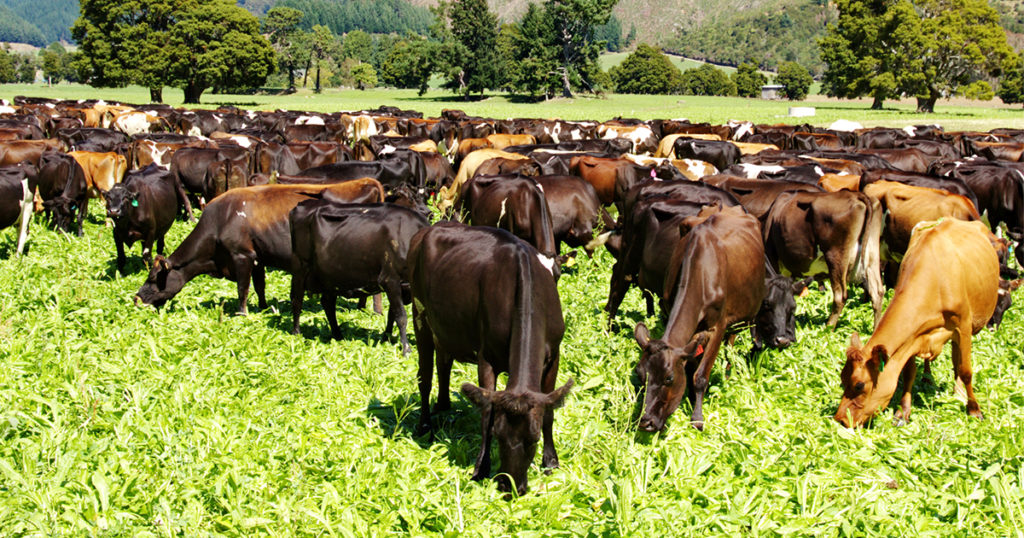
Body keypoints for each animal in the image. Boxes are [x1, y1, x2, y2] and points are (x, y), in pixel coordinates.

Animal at [136, 180, 387, 315]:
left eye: (153, 277)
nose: (136, 298)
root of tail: (367, 182)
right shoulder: (258, 257)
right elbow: (259, 287)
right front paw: (264, 307)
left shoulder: (242, 255)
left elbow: (243, 288)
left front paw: (242, 313)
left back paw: (375, 310)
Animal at [288, 200, 428, 352]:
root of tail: (303, 204)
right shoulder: (390, 279)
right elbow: (401, 316)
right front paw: (406, 349)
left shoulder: (403, 286)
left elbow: (392, 314)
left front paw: (386, 338)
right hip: (300, 268)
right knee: (297, 300)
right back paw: (296, 333)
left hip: (330, 277)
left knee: (327, 303)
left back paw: (338, 335)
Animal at [407, 222, 573, 495]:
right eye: (498, 434)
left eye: (534, 438)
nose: (510, 486)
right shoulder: (487, 358)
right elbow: (487, 411)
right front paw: (481, 467)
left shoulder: (554, 356)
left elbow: (549, 411)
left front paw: (551, 461)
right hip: (418, 312)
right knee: (425, 375)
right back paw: (425, 425)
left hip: (444, 327)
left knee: (443, 362)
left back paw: (443, 405)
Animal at [765, 190, 884, 329]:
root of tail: (856, 195)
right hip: (872, 254)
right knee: (877, 292)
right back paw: (876, 328)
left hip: (836, 256)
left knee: (840, 296)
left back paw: (828, 327)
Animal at [831, 220, 999, 426]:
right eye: (842, 378)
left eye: (859, 385)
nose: (840, 420)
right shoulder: (912, 336)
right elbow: (909, 372)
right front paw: (903, 412)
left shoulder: (964, 326)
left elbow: (966, 370)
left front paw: (974, 410)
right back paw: (928, 379)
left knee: (957, 358)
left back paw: (958, 391)